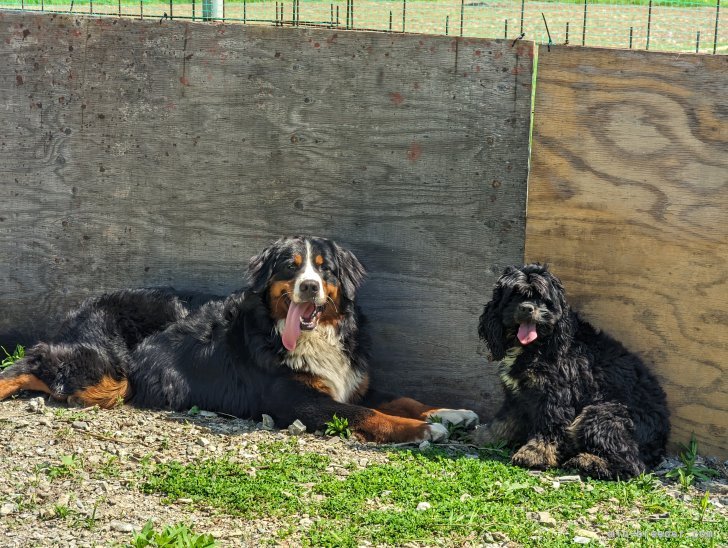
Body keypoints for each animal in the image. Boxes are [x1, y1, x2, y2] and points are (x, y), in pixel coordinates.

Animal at [474, 264, 668, 478]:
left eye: (543, 298)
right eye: (514, 295)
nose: (526, 308)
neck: (539, 345)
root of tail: (661, 441)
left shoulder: (556, 395)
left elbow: (549, 427)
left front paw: (535, 454)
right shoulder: (516, 395)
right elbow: (504, 419)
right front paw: (485, 436)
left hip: (600, 414)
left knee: (632, 465)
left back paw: (587, 462)